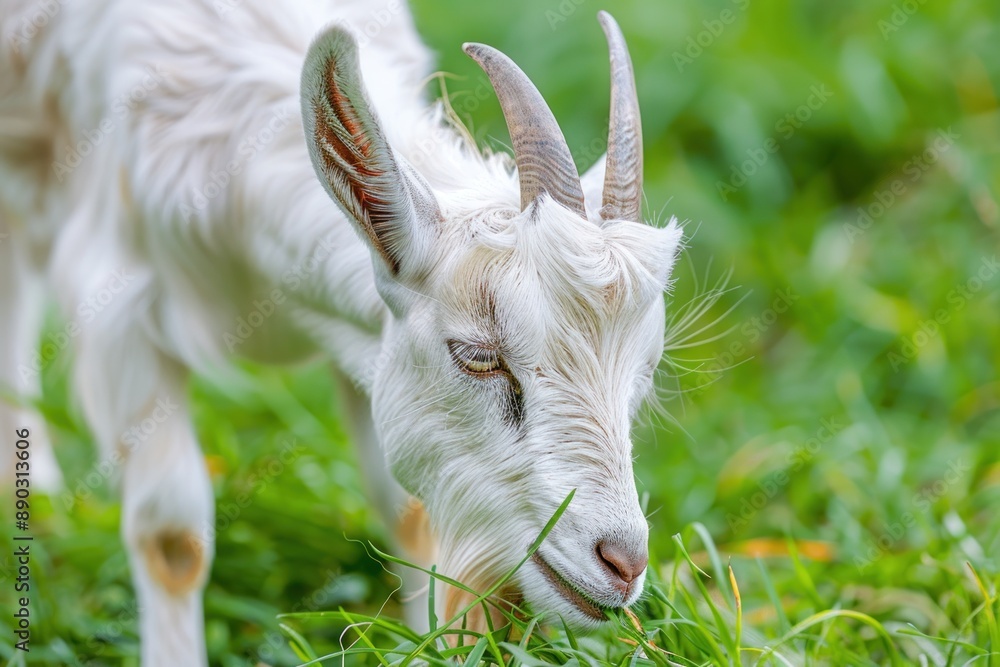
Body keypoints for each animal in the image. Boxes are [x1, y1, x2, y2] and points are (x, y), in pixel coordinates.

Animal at [0, 1, 682, 663]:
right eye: (479, 356)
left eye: (642, 372)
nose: (623, 564)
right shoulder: (122, 310)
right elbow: (173, 539)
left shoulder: (368, 341)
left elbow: (408, 515)